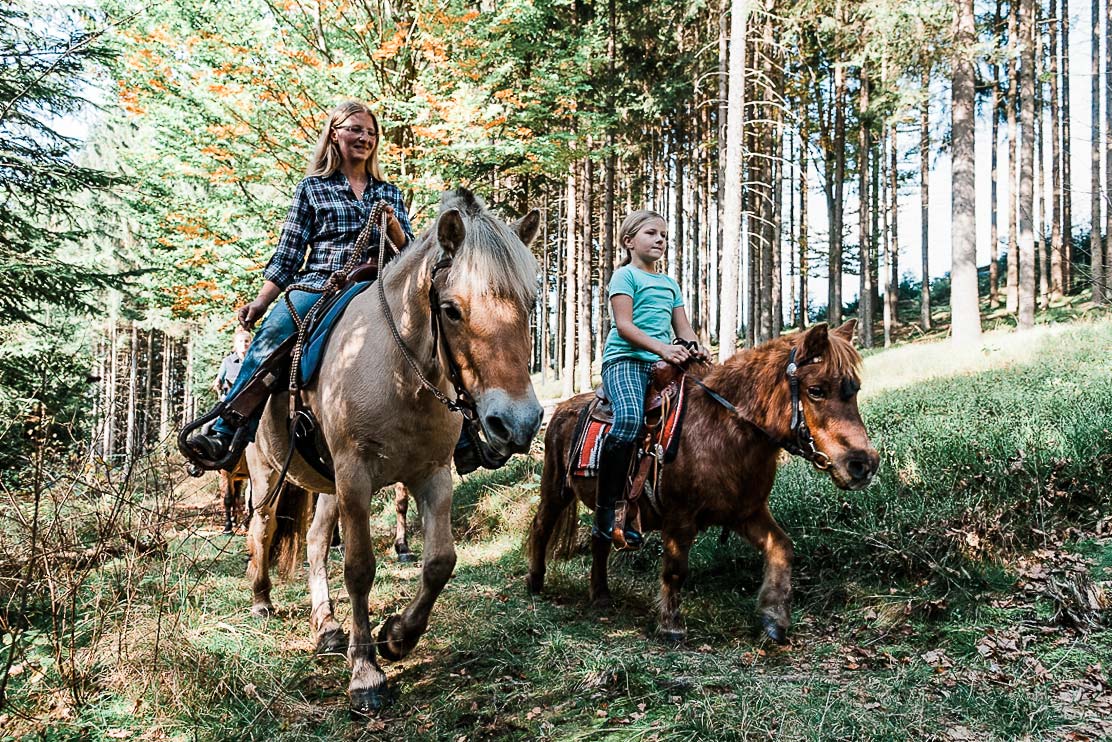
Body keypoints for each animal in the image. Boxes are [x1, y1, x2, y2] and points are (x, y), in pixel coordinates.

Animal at [243, 190, 542, 711]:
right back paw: (263, 599)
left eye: (529, 303)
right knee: (262, 530)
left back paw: (327, 627)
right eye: (452, 309)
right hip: (267, 475)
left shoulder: (432, 474)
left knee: (315, 542)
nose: (518, 422)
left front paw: (398, 636)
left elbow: (440, 561)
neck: (400, 374)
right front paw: (365, 672)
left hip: (327, 486)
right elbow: (360, 567)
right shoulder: (355, 476)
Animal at [524, 322, 880, 645]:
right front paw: (671, 626)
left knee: (600, 538)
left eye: (855, 389)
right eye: (816, 390)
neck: (724, 432)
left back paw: (600, 596)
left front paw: (774, 618)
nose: (863, 464)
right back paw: (535, 584)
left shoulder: (746, 513)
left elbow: (782, 548)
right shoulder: (679, 518)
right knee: (541, 527)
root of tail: (560, 410)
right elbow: (676, 569)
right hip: (555, 489)